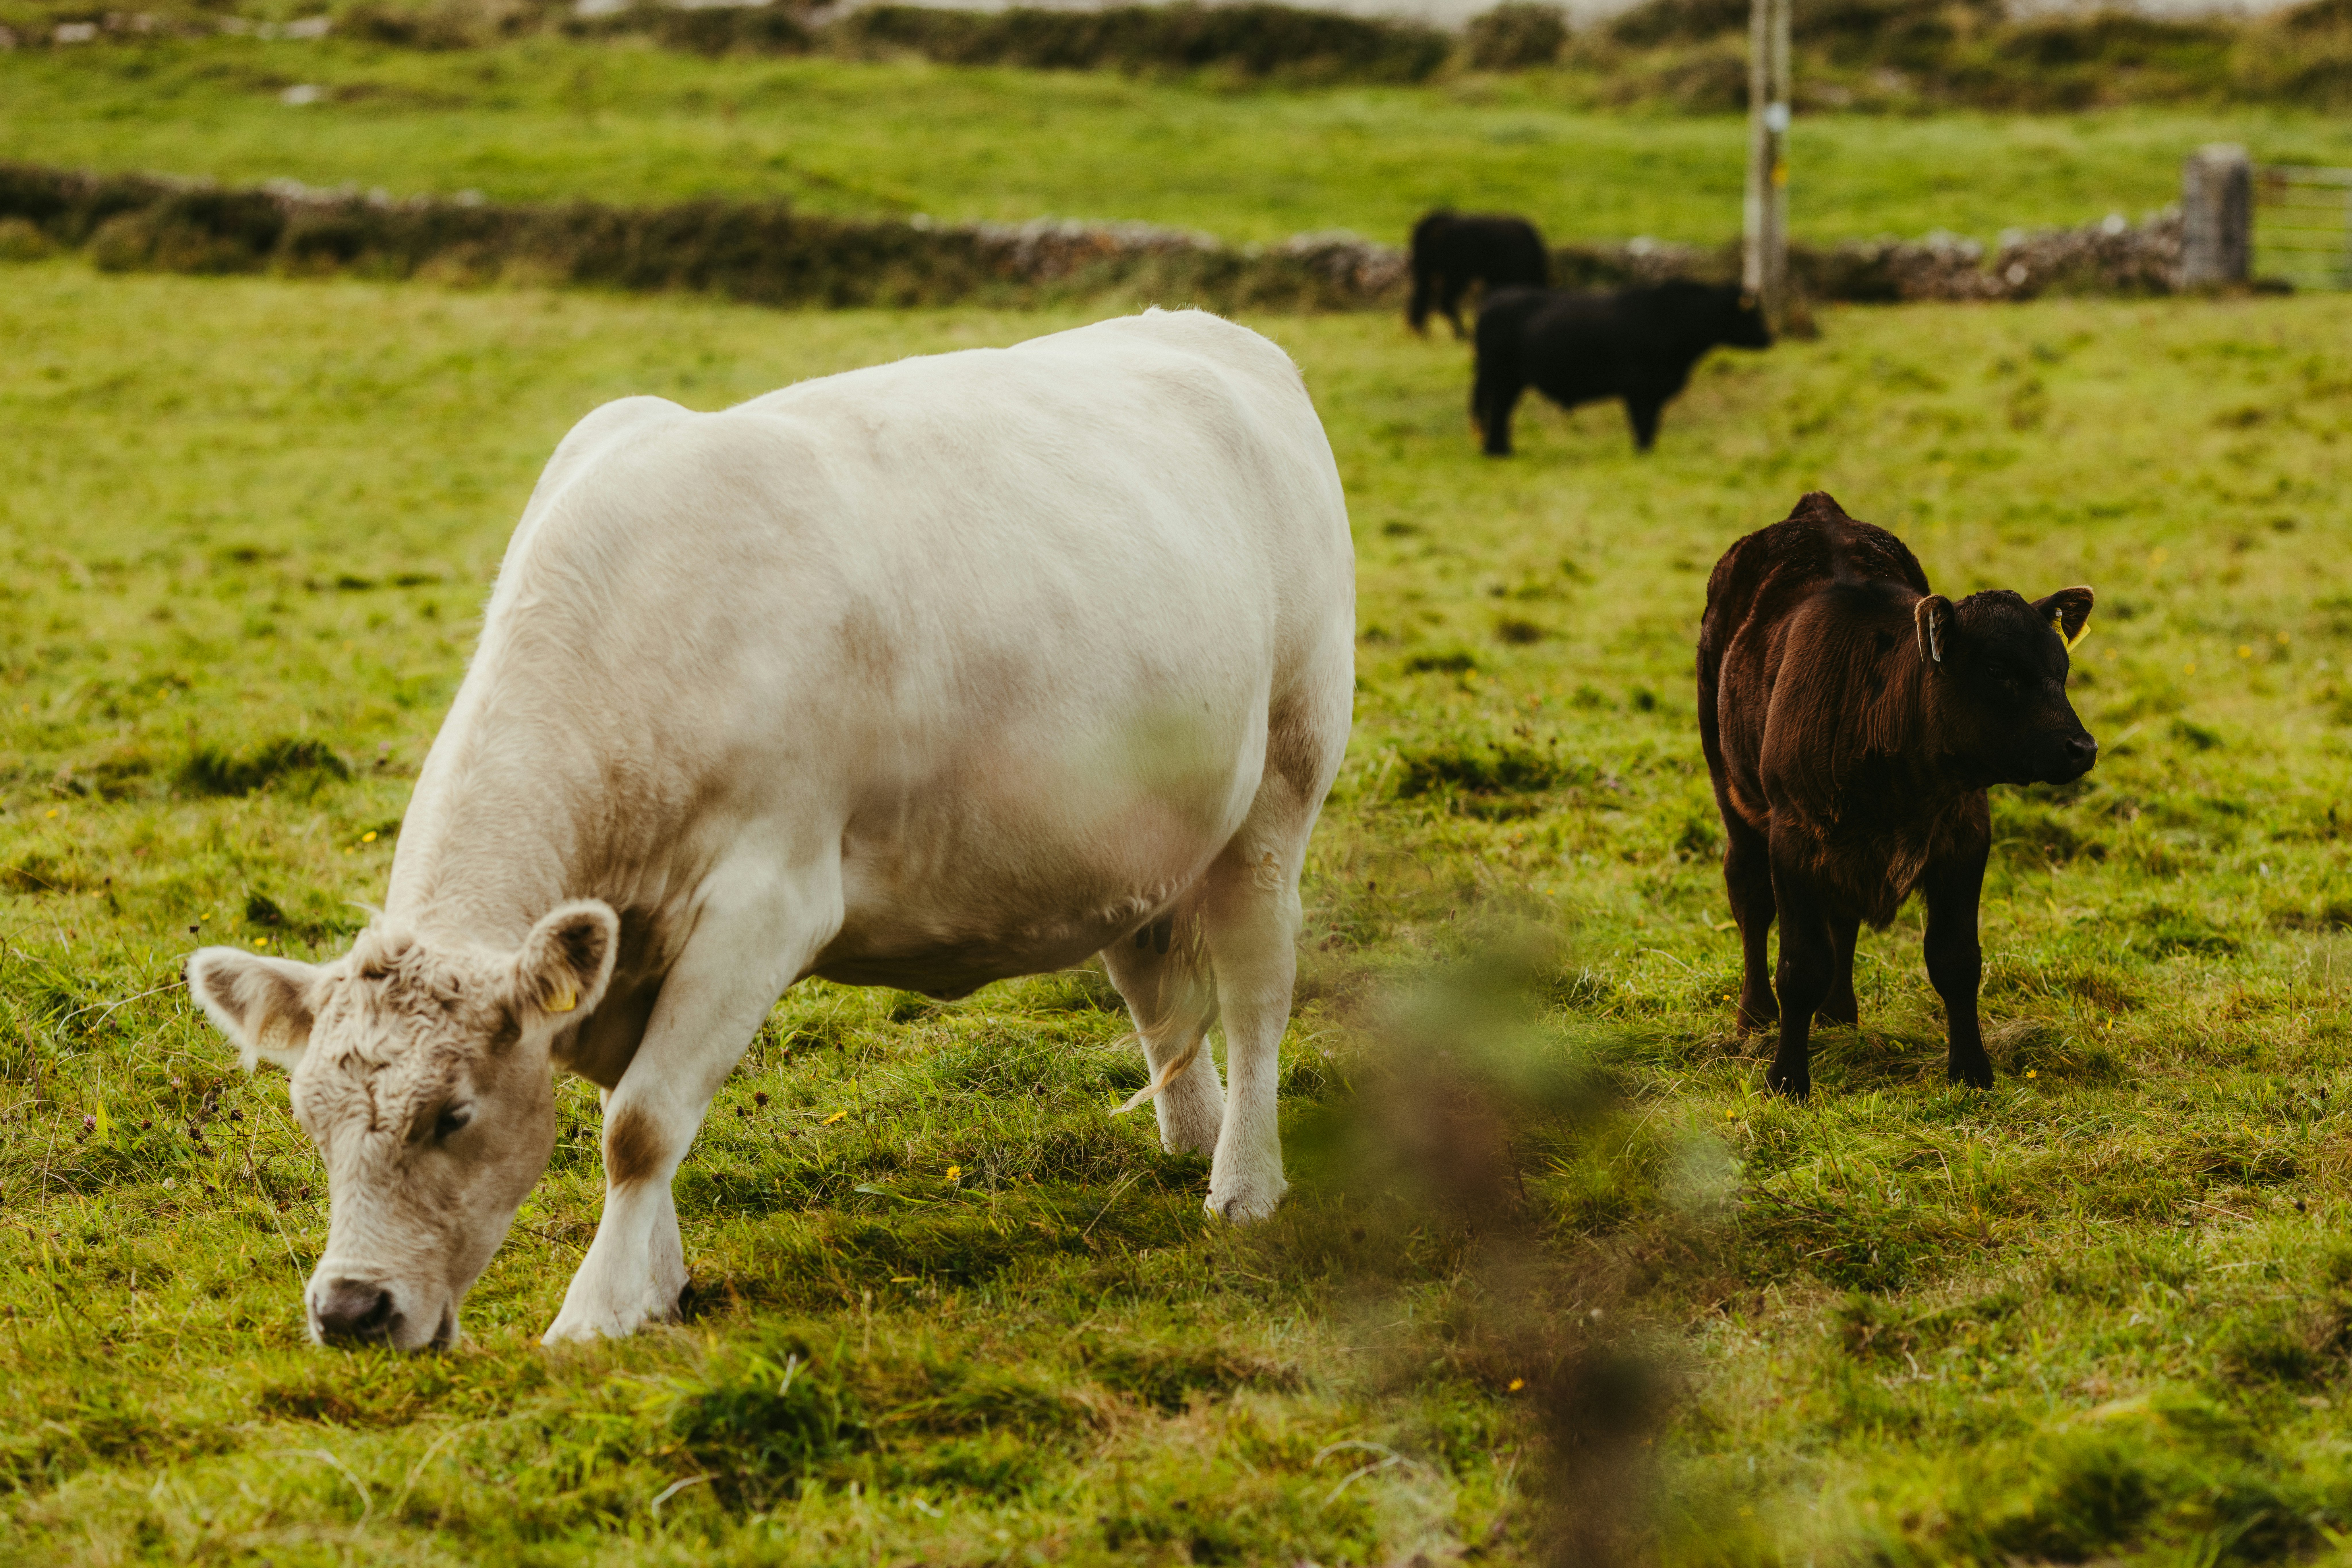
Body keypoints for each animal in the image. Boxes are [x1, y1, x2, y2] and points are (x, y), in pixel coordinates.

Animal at [183, 309, 1356, 1350]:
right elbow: (630, 1114)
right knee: (1157, 988)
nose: (349, 1309)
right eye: (312, 1122)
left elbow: (641, 1123)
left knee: (1255, 993)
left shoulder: (769, 900)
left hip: (1279, 788)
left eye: (453, 1115)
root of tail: (1211, 332)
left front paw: (596, 1311)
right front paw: (658, 1285)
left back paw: (1243, 1182)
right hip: (1132, 832)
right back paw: (1189, 1139)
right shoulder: (627, 952)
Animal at [1408, 209, 1550, 339]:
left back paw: (1424, 332)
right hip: (1457, 277)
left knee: (1421, 298)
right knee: (1445, 302)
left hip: (1426, 274)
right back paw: (1462, 334)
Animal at [1472, 279, 1772, 456]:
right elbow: (1642, 423)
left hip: (1512, 381)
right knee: (1497, 412)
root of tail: (1492, 301)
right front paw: (1643, 452)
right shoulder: (1638, 389)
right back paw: (1497, 452)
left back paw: (1503, 449)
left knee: (1501, 412)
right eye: (1753, 314)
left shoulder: (1656, 391)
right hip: (1500, 377)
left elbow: (1652, 423)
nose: (1770, 338)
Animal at [1697, 492, 2096, 1099]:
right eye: (1996, 669)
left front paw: (1971, 1071)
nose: (2081, 747)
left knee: (1842, 917)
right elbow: (1799, 967)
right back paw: (1755, 1017)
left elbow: (1956, 961)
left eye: (2063, 668)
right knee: (1748, 893)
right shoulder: (1793, 837)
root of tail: (1817, 509)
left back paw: (1839, 1014)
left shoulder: (1965, 834)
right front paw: (1787, 1078)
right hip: (1732, 788)